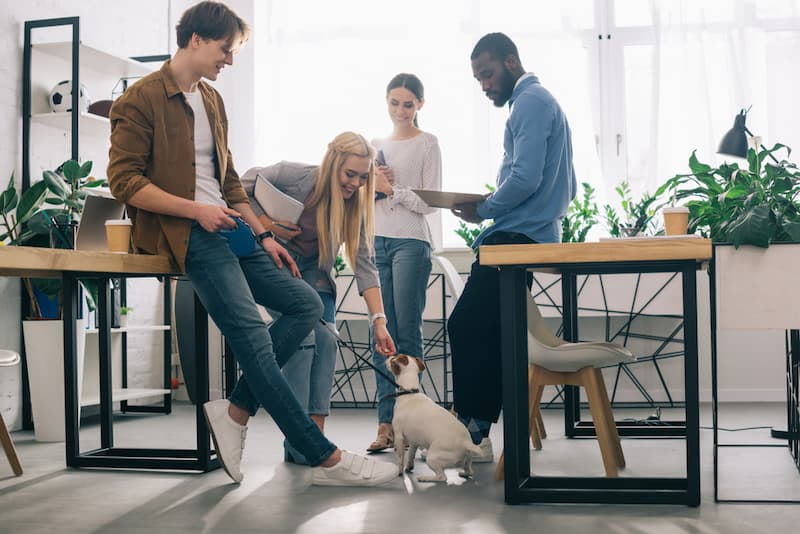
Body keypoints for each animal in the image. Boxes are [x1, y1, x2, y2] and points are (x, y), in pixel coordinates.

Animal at [388, 356, 482, 486]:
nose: (388, 356)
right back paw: (464, 473)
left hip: (432, 457)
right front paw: (409, 467)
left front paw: (400, 472)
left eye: (393, 359)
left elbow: (400, 457)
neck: (409, 392)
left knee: (442, 477)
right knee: (469, 471)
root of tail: (465, 442)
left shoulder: (398, 436)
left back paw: (425, 478)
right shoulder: (414, 441)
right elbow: (411, 455)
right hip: (467, 460)